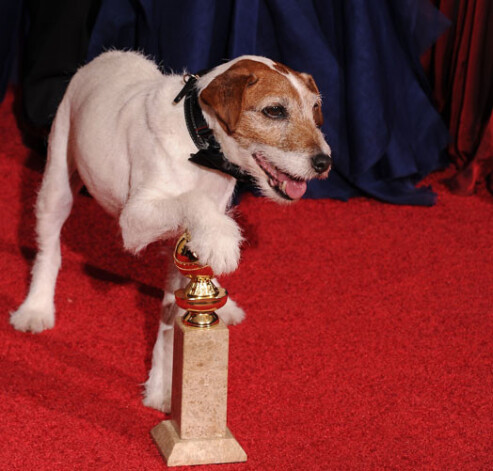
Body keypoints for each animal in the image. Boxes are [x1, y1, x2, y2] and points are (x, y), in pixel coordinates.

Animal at [10, 51, 330, 412]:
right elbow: (191, 200)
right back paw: (35, 309)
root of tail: (109, 54)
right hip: (57, 183)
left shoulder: (185, 242)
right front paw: (222, 240)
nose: (325, 162)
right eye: (274, 111)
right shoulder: (134, 220)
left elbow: (169, 319)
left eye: (315, 109)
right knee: (49, 250)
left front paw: (162, 386)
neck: (199, 142)